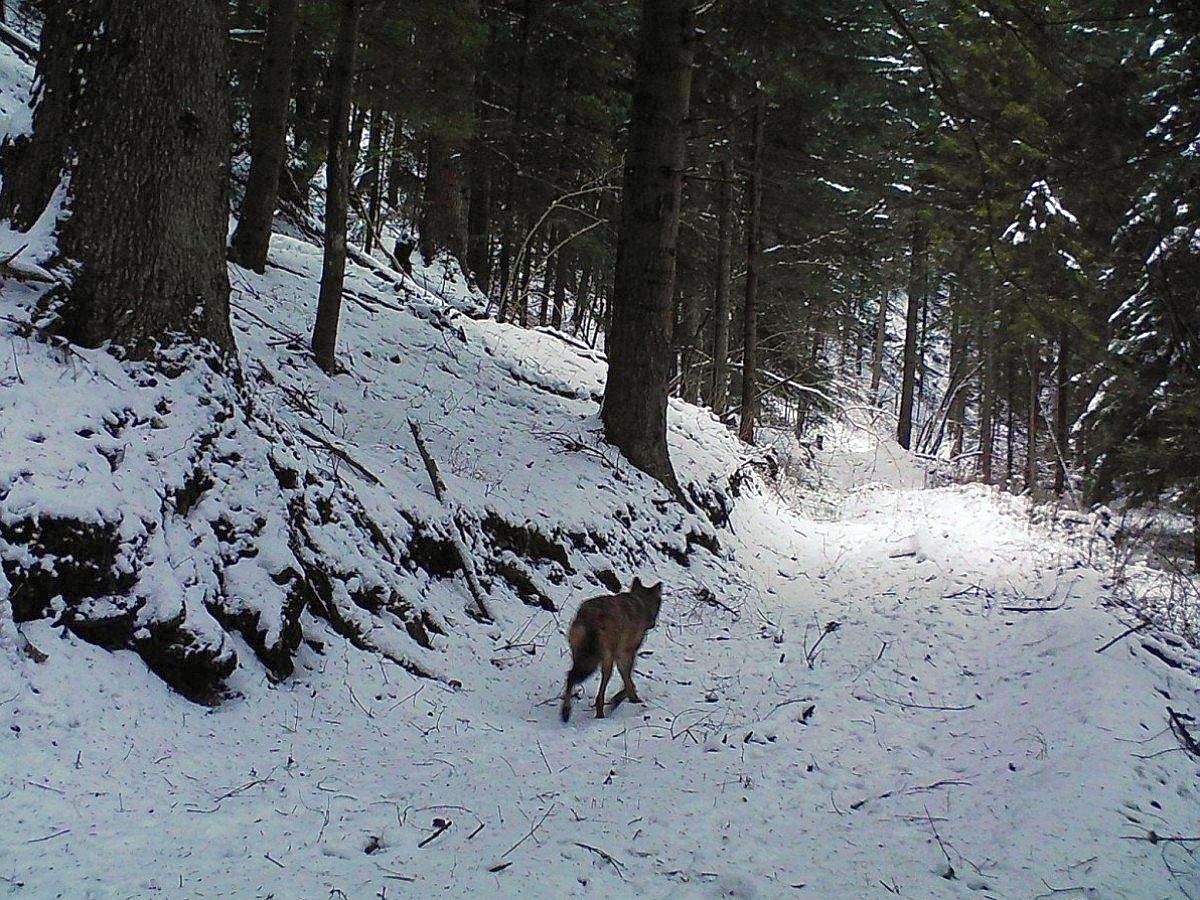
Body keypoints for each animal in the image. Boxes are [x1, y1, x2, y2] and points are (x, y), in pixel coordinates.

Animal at [556, 578, 662, 724]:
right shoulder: (627, 653)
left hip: (581, 657)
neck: (642, 602)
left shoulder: (620, 654)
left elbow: (628, 679)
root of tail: (591, 616)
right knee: (599, 691)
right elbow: (629, 679)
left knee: (570, 676)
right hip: (605, 662)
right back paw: (600, 714)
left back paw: (566, 712)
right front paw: (630, 699)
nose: (652, 624)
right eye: (658, 606)